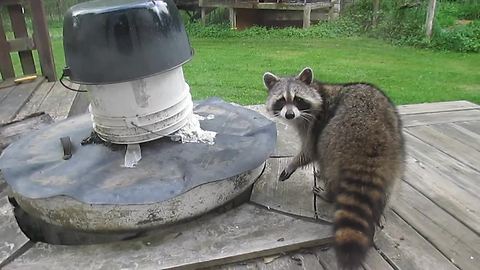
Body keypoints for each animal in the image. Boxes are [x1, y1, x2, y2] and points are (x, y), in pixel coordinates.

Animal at [264, 67, 404, 270]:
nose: (289, 115)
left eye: (298, 99)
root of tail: (372, 135)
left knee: (326, 159)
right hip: (395, 149)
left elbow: (310, 151)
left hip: (335, 135)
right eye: (281, 100)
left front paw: (293, 164)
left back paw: (329, 193)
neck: (317, 90)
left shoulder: (315, 123)